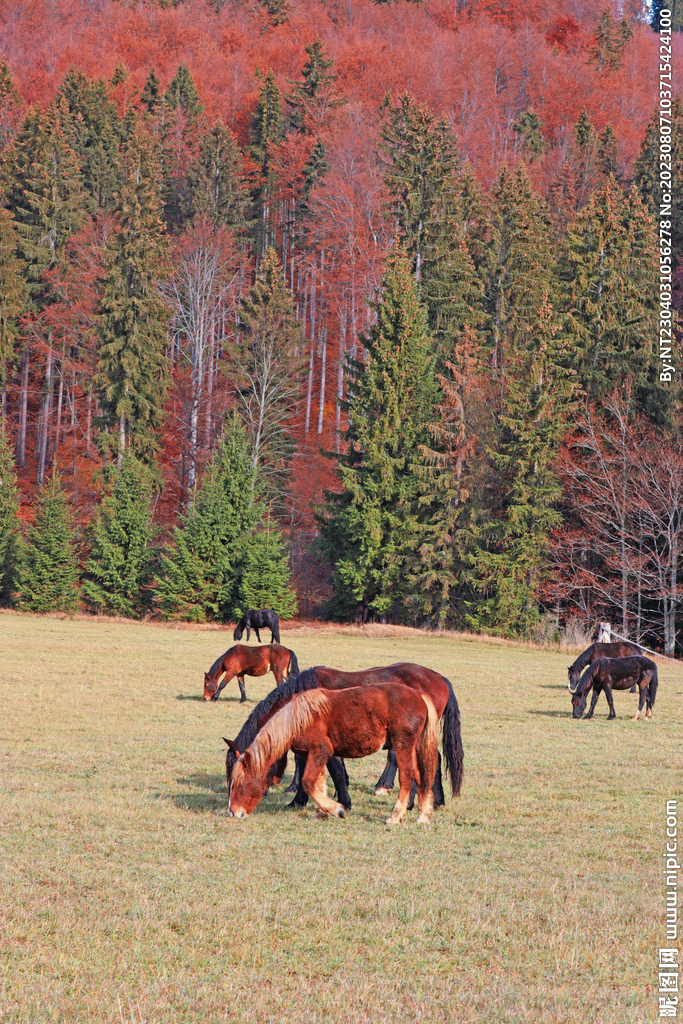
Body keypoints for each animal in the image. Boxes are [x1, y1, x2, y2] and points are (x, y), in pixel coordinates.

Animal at [223, 664, 464, 811]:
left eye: (240, 774)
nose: (233, 804)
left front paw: (343, 803)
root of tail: (439, 678)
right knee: (434, 759)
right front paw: (300, 800)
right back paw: (437, 800)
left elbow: (336, 772)